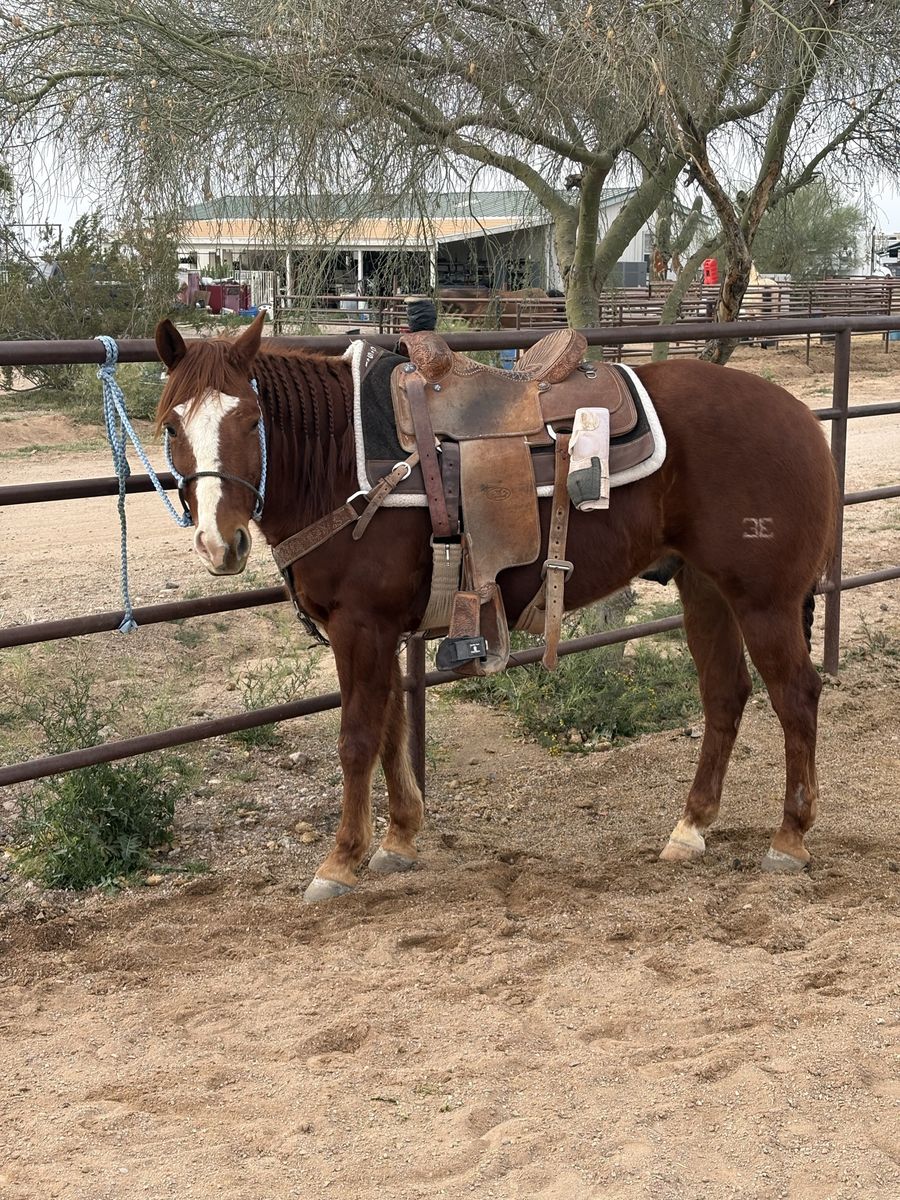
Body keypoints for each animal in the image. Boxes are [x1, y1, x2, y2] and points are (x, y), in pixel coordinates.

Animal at [154, 312, 838, 903]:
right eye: (171, 426)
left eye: (250, 420)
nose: (219, 543)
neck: (342, 461)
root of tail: (800, 416)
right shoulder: (384, 631)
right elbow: (392, 732)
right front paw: (399, 838)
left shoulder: (361, 627)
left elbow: (357, 739)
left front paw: (341, 861)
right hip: (706, 591)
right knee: (725, 695)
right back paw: (691, 828)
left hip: (764, 602)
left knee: (795, 696)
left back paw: (788, 839)